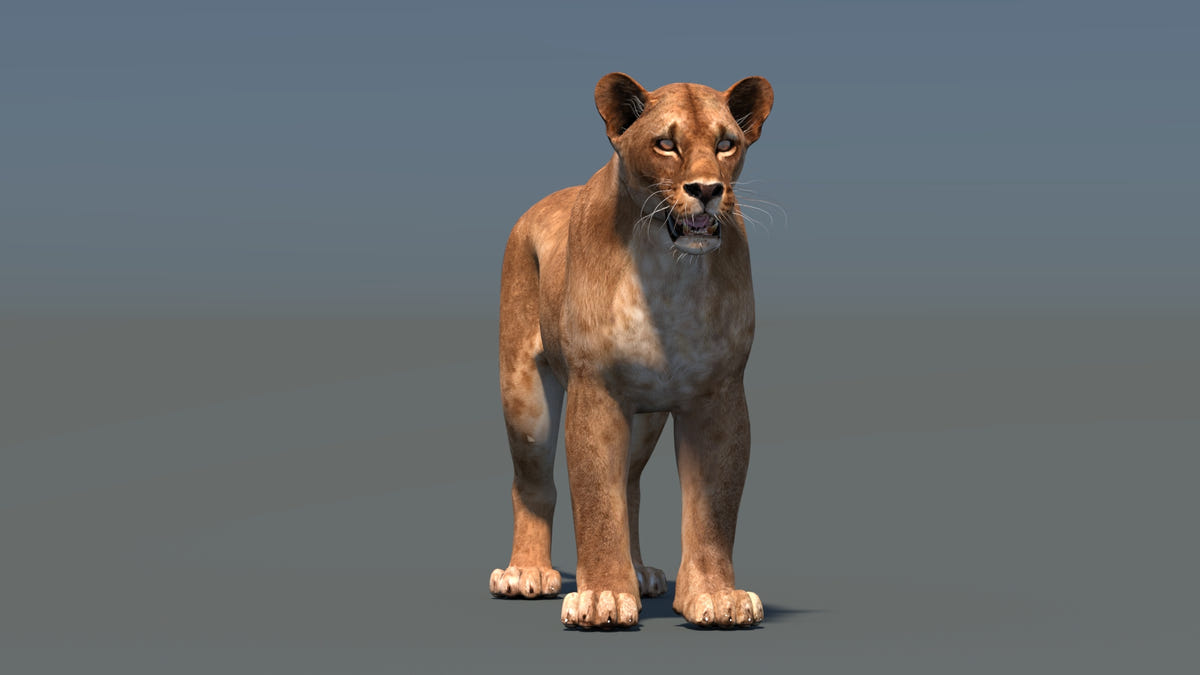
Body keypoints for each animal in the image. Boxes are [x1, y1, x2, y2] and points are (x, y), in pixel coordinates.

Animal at [489, 73, 774, 629]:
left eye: (726, 144)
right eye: (666, 143)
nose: (707, 190)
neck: (670, 272)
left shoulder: (719, 396)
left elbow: (713, 508)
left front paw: (717, 598)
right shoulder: (595, 391)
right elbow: (597, 500)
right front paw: (602, 598)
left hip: (646, 418)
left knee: (632, 485)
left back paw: (640, 573)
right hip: (525, 397)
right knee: (531, 481)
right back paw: (525, 573)